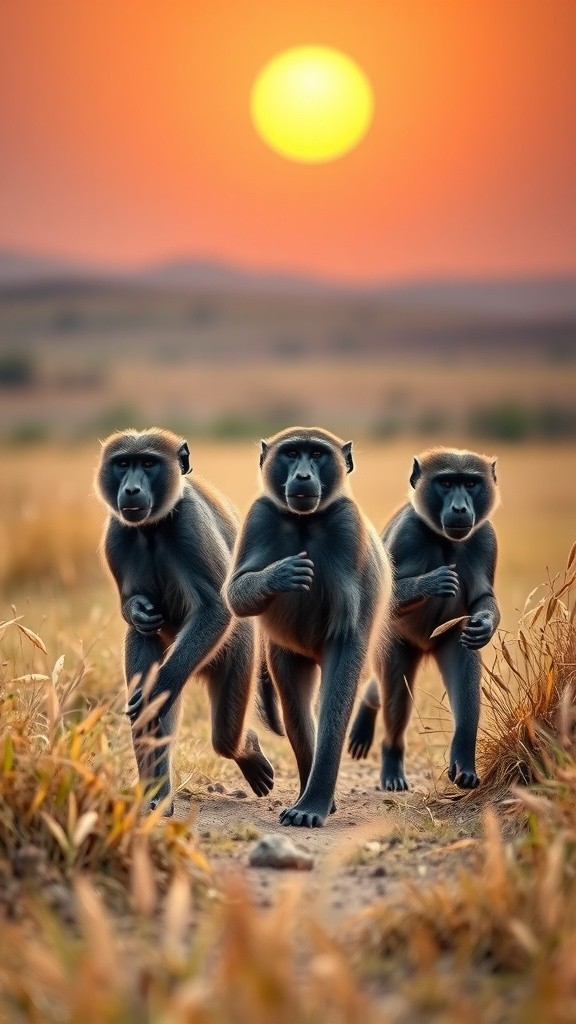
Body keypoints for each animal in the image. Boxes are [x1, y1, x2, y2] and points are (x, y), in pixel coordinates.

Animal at [95, 428, 274, 815]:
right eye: (123, 464)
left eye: (148, 463)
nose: (131, 490)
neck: (152, 529)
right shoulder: (117, 531)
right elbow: (132, 609)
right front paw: (137, 610)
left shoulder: (191, 522)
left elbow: (215, 608)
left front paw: (160, 687)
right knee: (142, 649)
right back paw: (157, 794)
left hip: (236, 651)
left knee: (225, 734)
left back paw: (248, 749)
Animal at [225, 427, 392, 828]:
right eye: (291, 453)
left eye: (316, 454)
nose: (302, 477)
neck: (305, 521)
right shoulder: (260, 516)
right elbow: (235, 595)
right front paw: (281, 574)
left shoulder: (347, 526)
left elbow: (346, 630)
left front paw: (312, 806)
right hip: (288, 652)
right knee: (296, 710)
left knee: (331, 702)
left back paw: (314, 803)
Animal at [348, 447, 500, 792]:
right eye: (446, 482)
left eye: (470, 483)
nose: (460, 509)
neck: (444, 540)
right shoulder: (407, 533)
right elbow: (384, 596)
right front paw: (433, 582)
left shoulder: (486, 537)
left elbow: (482, 601)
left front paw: (484, 623)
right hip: (394, 644)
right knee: (394, 695)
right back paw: (391, 764)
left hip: (446, 640)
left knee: (464, 675)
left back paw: (464, 763)